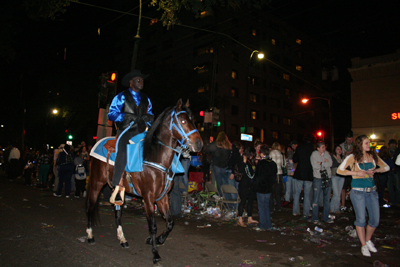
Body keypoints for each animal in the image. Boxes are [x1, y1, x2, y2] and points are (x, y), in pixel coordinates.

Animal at [85, 100, 202, 266]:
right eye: (184, 121)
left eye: (193, 120)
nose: (199, 144)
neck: (156, 157)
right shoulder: (148, 198)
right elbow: (152, 226)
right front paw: (155, 253)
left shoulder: (163, 198)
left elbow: (170, 222)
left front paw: (158, 240)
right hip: (96, 183)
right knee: (90, 206)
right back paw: (90, 236)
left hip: (117, 188)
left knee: (117, 212)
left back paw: (122, 239)